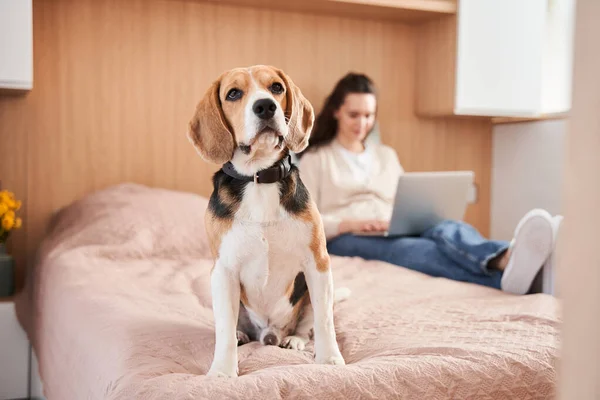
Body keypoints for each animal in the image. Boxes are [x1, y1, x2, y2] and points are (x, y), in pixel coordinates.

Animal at [190, 64, 344, 376]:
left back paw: (294, 340)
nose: (265, 106)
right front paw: (222, 371)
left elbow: (324, 322)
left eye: (276, 88)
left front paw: (330, 359)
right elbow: (223, 331)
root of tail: (269, 334)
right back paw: (242, 335)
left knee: (308, 324)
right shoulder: (223, 270)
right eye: (233, 93)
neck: (259, 177)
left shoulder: (318, 262)